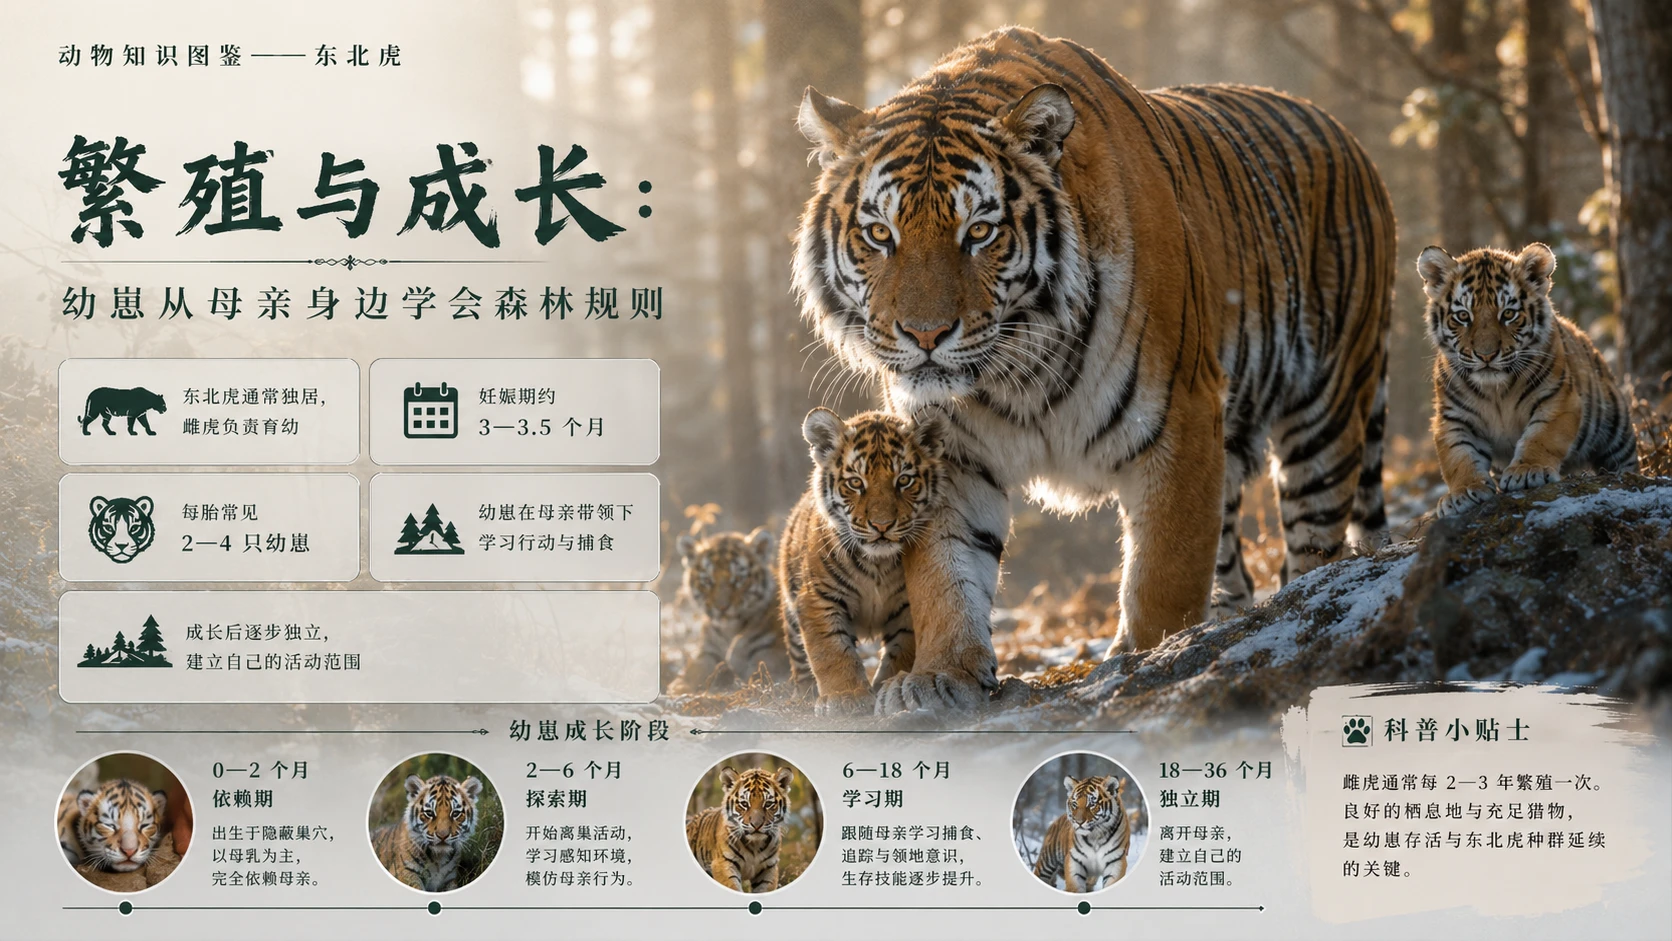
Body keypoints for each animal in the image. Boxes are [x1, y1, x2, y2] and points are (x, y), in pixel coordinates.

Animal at [667, 528, 792, 695]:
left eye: (738, 579)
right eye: (707, 580)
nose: (722, 607)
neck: (730, 630)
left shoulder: (770, 651)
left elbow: (759, 668)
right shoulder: (708, 651)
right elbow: (695, 669)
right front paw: (680, 686)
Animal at [778, 407, 948, 714]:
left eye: (903, 480)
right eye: (855, 482)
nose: (882, 526)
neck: (878, 564)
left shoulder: (908, 603)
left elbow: (903, 649)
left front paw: (888, 689)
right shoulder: (818, 598)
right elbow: (831, 650)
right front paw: (846, 698)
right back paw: (804, 694)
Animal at [1417, 243, 1639, 517]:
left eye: (1508, 314)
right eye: (1463, 316)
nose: (1486, 355)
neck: (1495, 391)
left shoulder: (1557, 401)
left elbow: (1540, 436)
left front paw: (1527, 471)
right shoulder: (1452, 418)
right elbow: (1458, 456)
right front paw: (1464, 492)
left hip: (1616, 431)